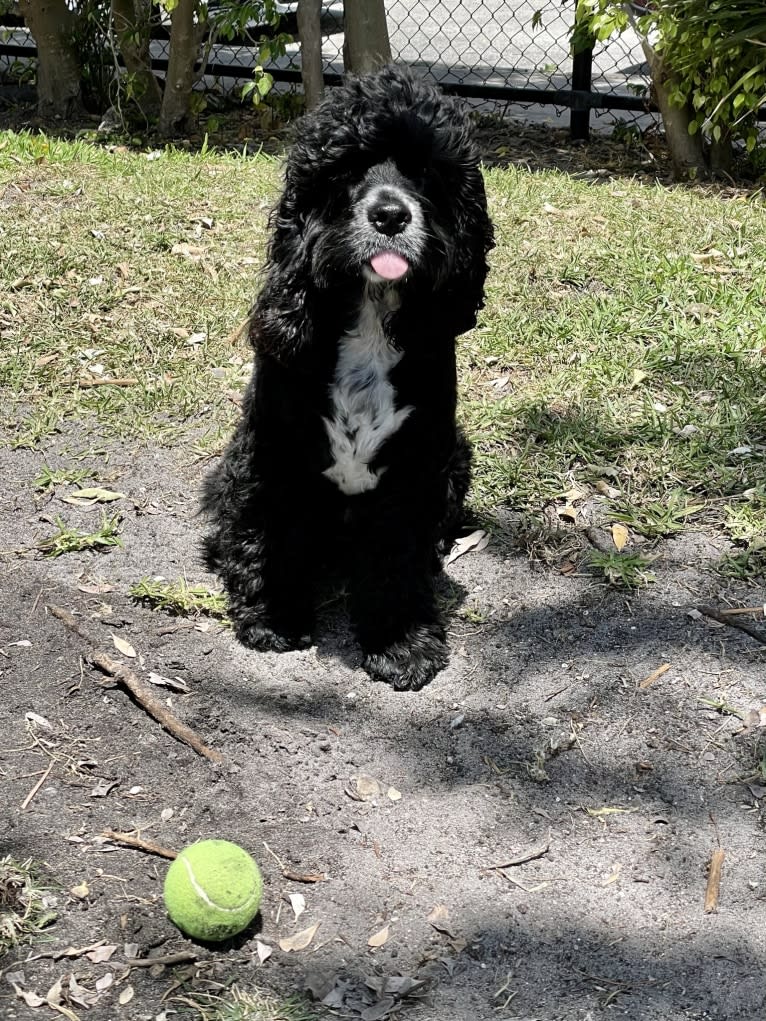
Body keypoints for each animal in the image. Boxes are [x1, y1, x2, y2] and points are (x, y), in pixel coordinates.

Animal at [201, 65, 494, 694]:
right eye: (347, 169)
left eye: (425, 170)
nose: (390, 215)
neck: (370, 315)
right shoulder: (275, 452)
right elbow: (276, 534)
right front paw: (274, 617)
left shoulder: (415, 466)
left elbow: (397, 558)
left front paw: (402, 642)